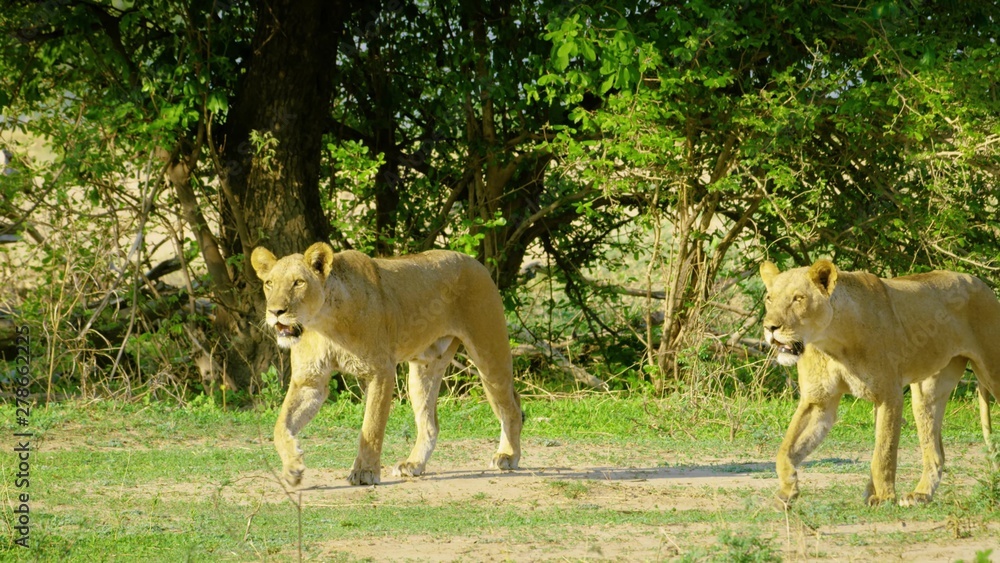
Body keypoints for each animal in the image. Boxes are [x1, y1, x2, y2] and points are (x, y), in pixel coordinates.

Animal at [250, 242, 523, 487]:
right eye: (269, 283)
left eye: (299, 282)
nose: (275, 311)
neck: (324, 324)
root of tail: (475, 262)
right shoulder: (309, 381)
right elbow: (280, 426)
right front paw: (292, 468)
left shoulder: (381, 371)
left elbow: (371, 426)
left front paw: (365, 472)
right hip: (423, 371)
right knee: (430, 424)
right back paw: (414, 464)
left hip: (489, 353)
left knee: (511, 405)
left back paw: (507, 456)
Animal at [760, 259, 998, 506]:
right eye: (769, 298)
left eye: (798, 298)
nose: (770, 327)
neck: (833, 343)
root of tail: (979, 282)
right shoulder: (819, 401)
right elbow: (786, 450)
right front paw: (788, 490)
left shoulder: (889, 395)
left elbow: (884, 452)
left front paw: (884, 497)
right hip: (926, 392)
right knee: (936, 452)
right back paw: (921, 494)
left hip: (992, 371)